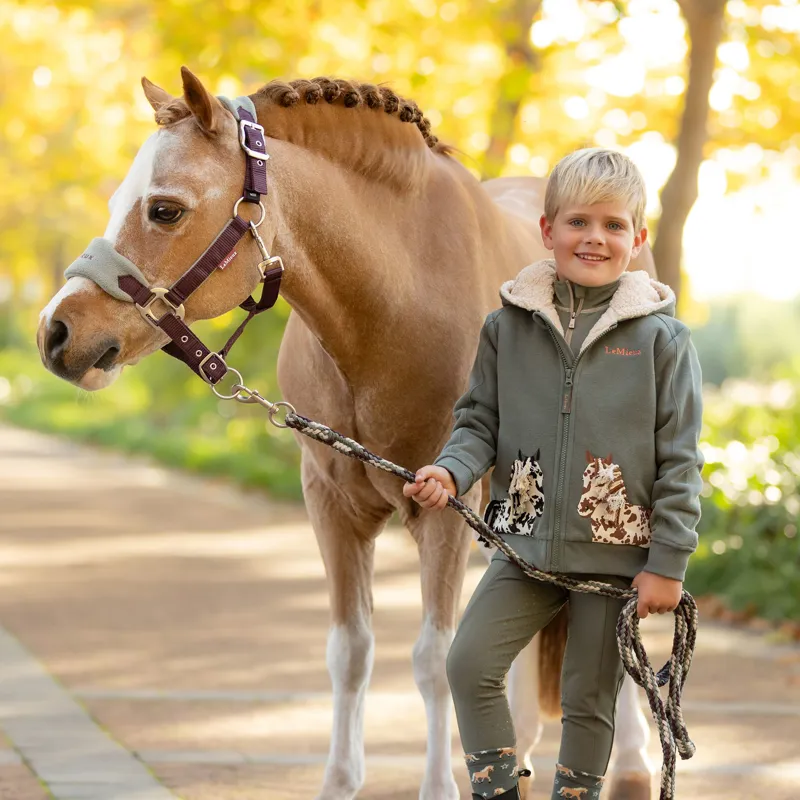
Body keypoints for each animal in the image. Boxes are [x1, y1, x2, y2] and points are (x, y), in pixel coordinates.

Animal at [37, 68, 655, 799]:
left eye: (164, 209)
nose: (56, 334)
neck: (393, 309)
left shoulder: (442, 509)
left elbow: (434, 657)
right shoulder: (332, 503)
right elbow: (350, 651)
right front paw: (340, 780)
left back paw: (633, 764)